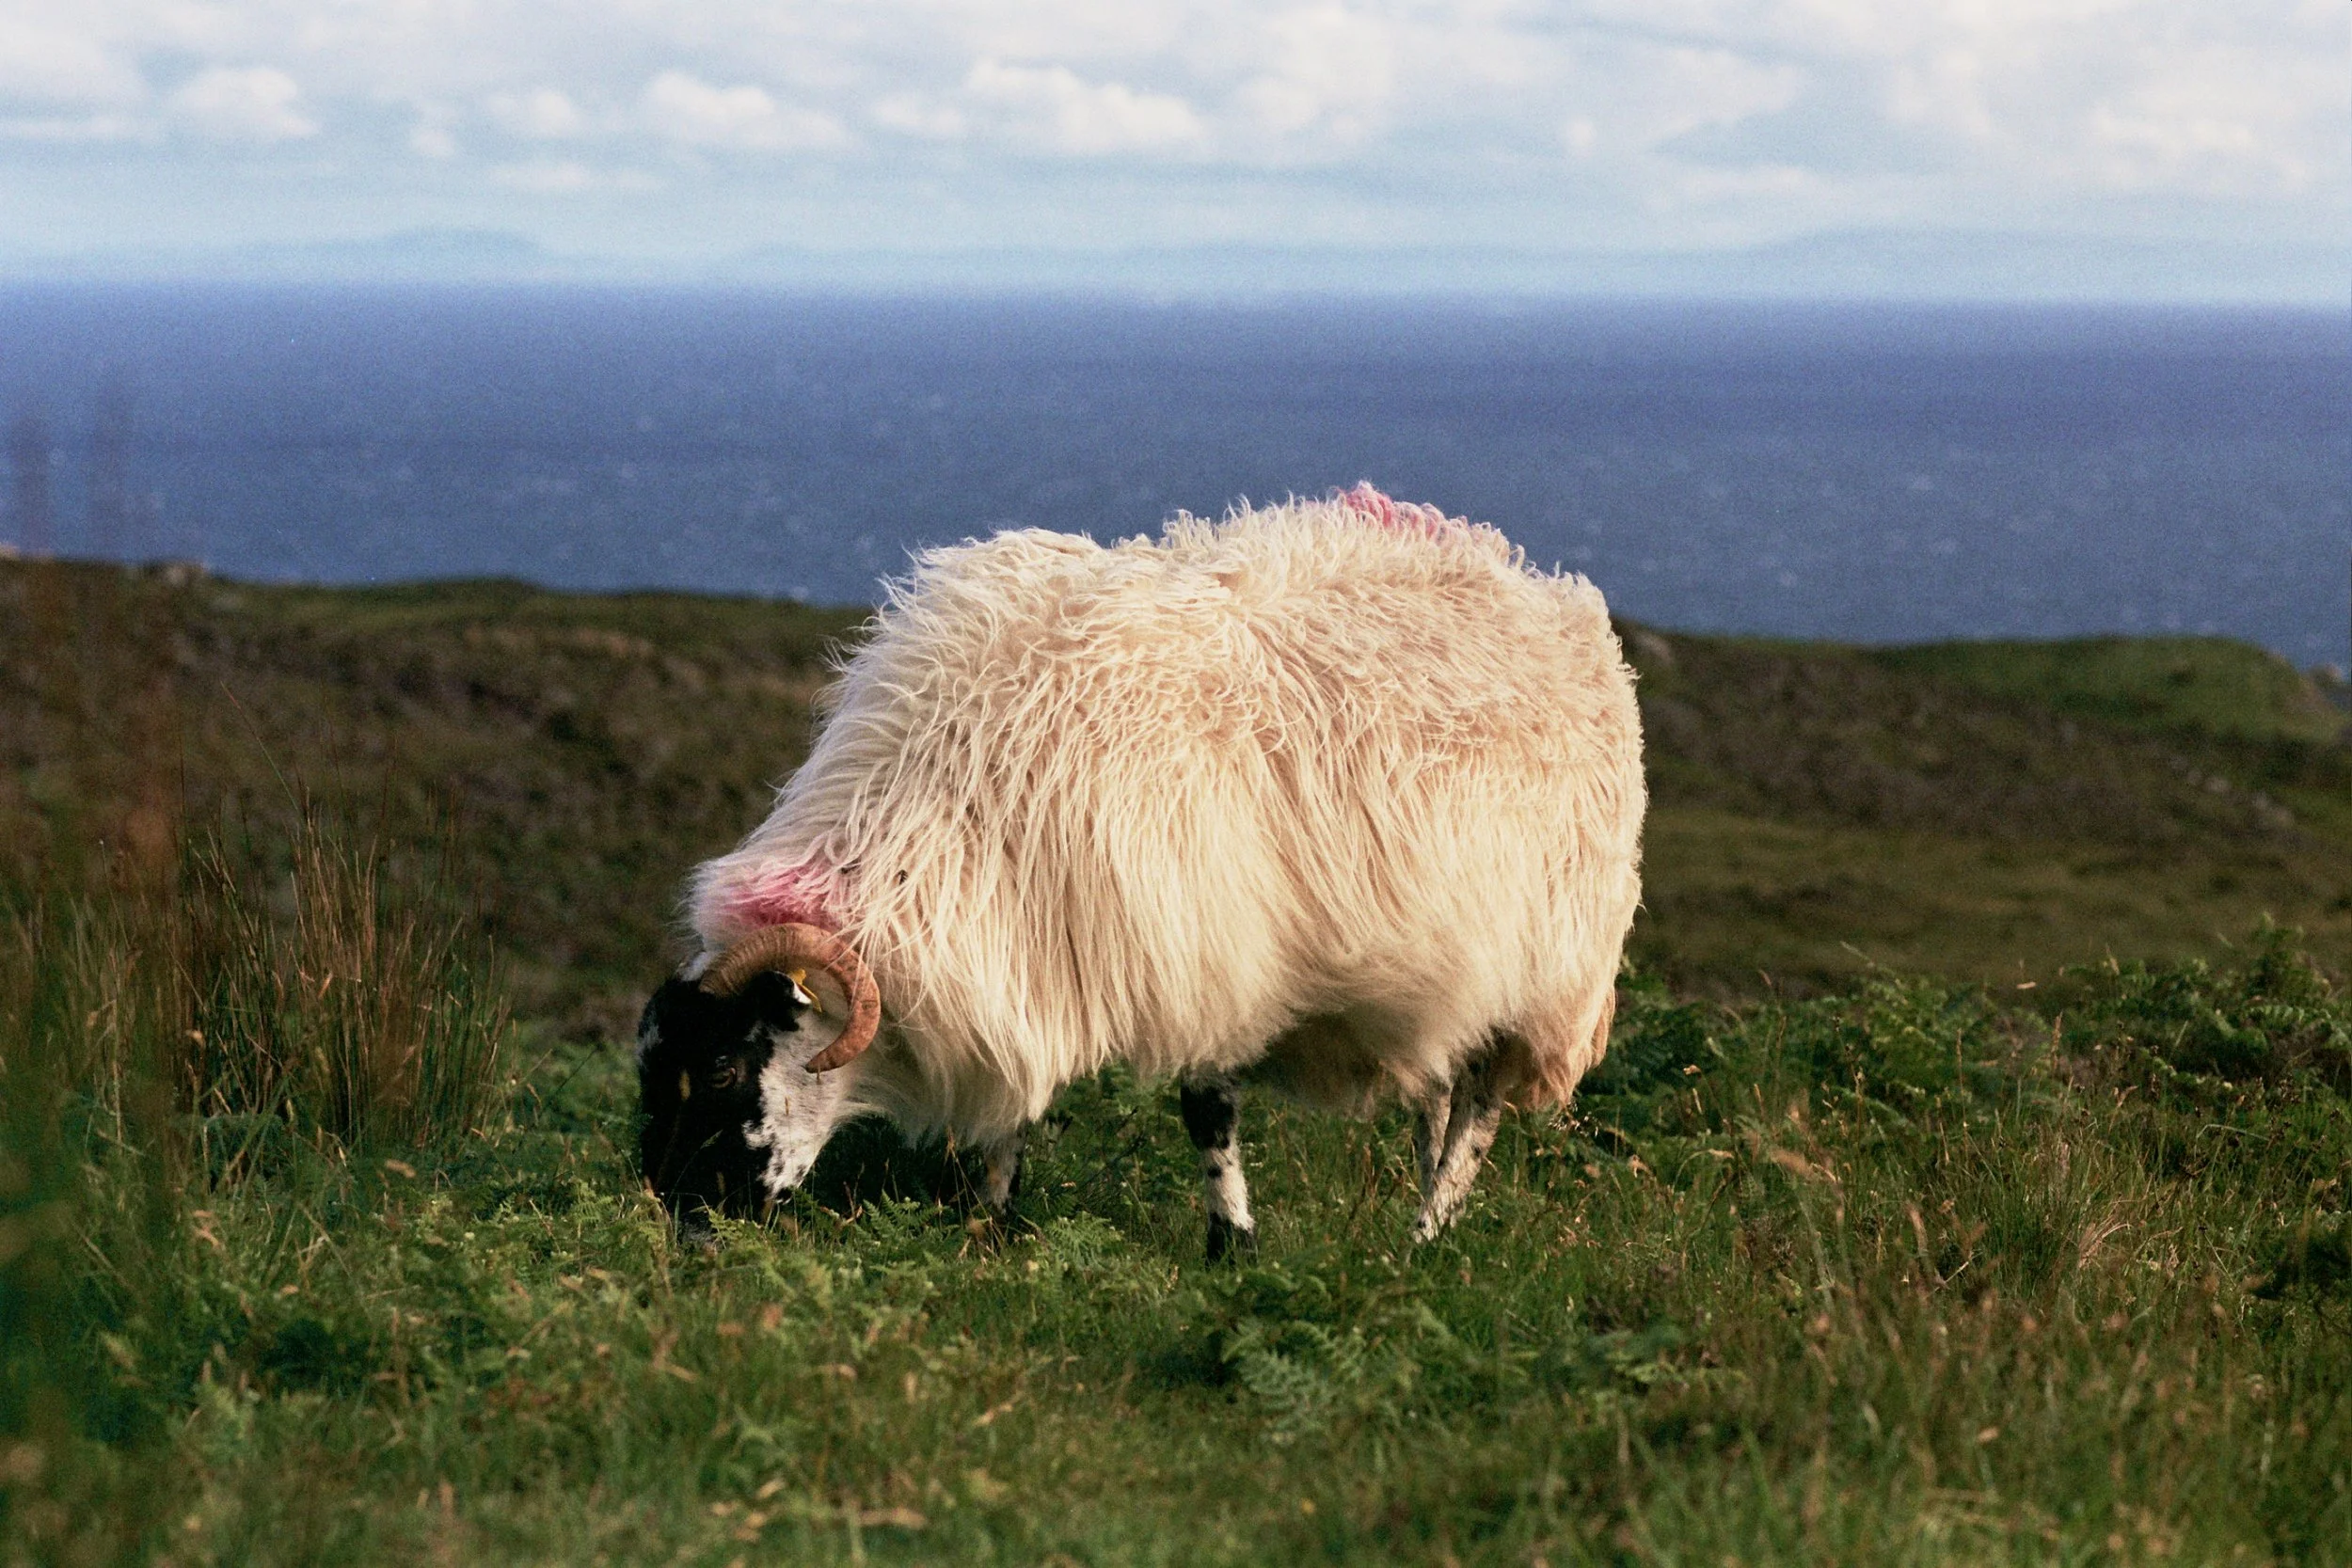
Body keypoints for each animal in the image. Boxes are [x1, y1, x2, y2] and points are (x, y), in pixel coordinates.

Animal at [636, 484, 1645, 1255]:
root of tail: (1546, 591)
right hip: (1457, 975)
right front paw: (990, 1223)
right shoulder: (1032, 939)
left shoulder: (1212, 948)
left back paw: (1424, 1237)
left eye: (722, 1068)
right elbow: (1018, 1105)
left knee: (1478, 1114)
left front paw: (1231, 1246)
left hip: (1545, 974)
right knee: (1441, 1095)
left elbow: (1207, 1110)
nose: (679, 1222)